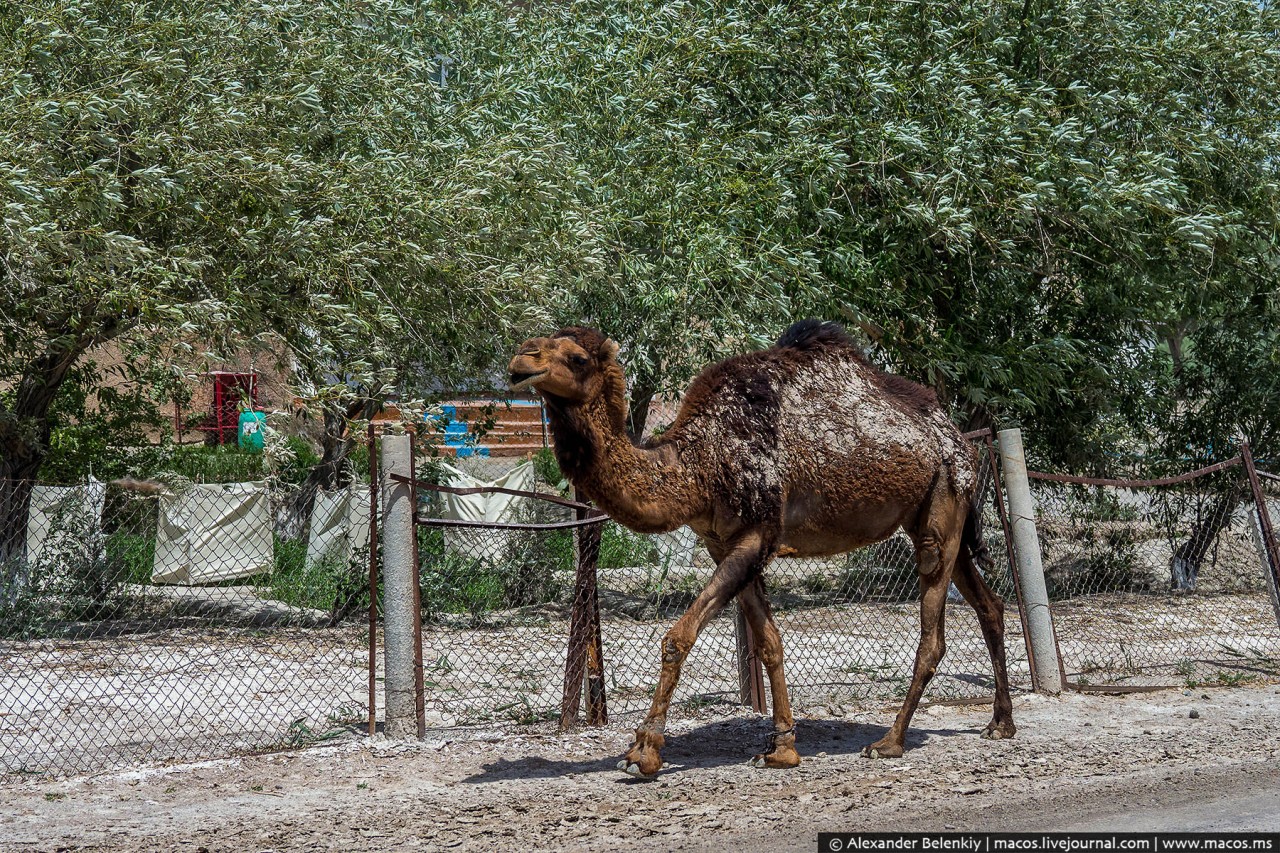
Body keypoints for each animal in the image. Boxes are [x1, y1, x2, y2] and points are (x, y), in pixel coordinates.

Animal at [504, 318, 1013, 778]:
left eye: (577, 358)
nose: (520, 358)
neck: (699, 466)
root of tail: (955, 437)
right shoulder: (723, 542)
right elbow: (769, 643)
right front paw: (782, 749)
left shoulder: (758, 533)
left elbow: (678, 637)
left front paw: (643, 753)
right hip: (934, 511)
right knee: (989, 603)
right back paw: (1000, 724)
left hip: (945, 496)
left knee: (934, 632)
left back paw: (889, 742)